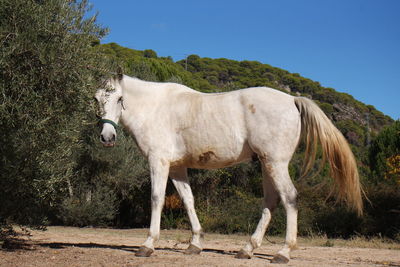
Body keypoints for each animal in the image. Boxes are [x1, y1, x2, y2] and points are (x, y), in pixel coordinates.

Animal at [94, 73, 362, 264]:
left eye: (119, 99)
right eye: (96, 99)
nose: (107, 138)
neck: (155, 107)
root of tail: (292, 100)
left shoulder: (158, 161)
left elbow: (156, 199)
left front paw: (148, 245)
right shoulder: (177, 167)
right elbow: (188, 201)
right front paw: (195, 244)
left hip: (276, 164)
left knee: (290, 198)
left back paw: (283, 252)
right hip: (267, 164)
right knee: (271, 201)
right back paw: (247, 249)